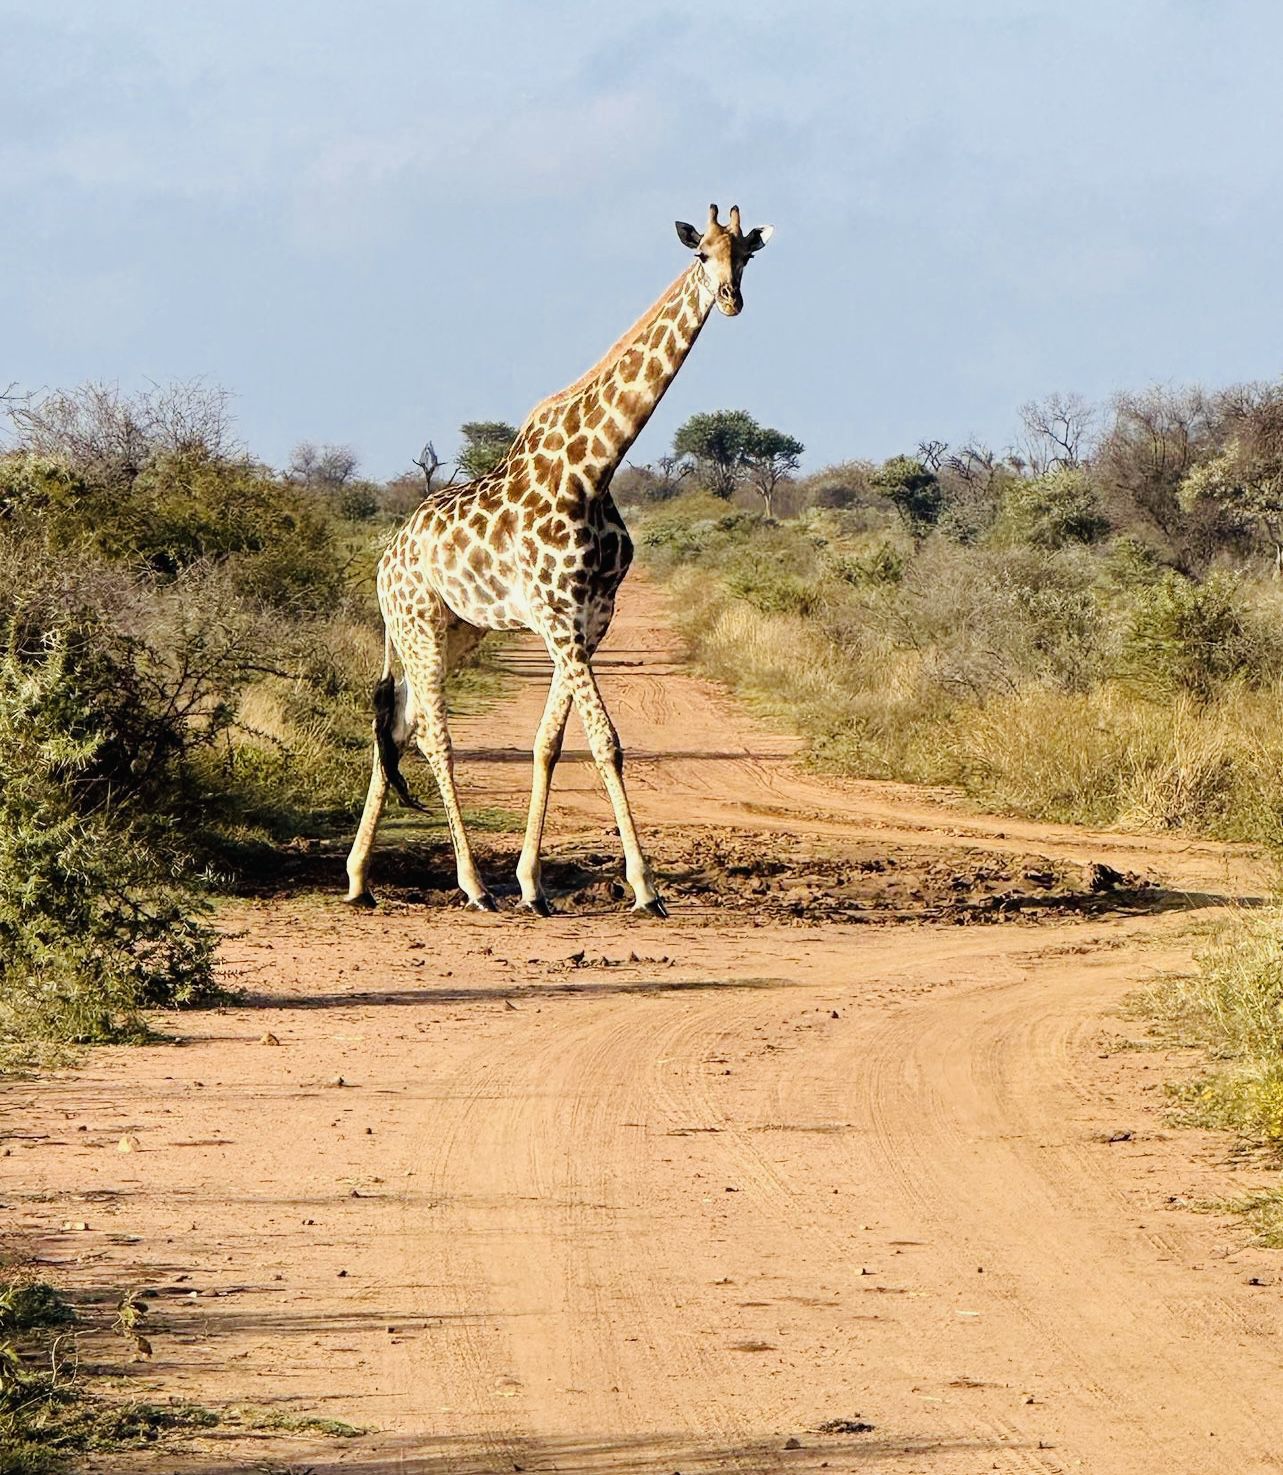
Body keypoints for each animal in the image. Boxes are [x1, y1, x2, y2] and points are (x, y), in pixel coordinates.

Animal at [343, 202, 772, 914]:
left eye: (746, 256)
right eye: (700, 255)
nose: (731, 299)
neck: (593, 468)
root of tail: (384, 564)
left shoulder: (590, 620)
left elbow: (550, 743)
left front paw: (532, 883)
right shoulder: (555, 617)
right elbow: (607, 743)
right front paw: (645, 888)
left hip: (456, 630)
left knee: (398, 724)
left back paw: (357, 879)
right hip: (419, 624)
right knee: (433, 735)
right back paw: (470, 884)